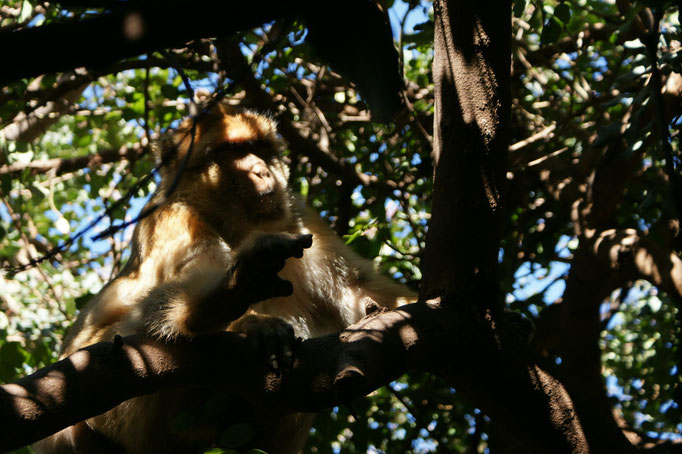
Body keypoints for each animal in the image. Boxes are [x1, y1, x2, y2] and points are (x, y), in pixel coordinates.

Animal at [35, 100, 414, 454]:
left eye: (258, 147)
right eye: (232, 152)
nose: (261, 171)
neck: (238, 225)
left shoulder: (301, 218)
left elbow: (356, 288)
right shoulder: (172, 217)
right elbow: (166, 295)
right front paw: (243, 312)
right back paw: (221, 302)